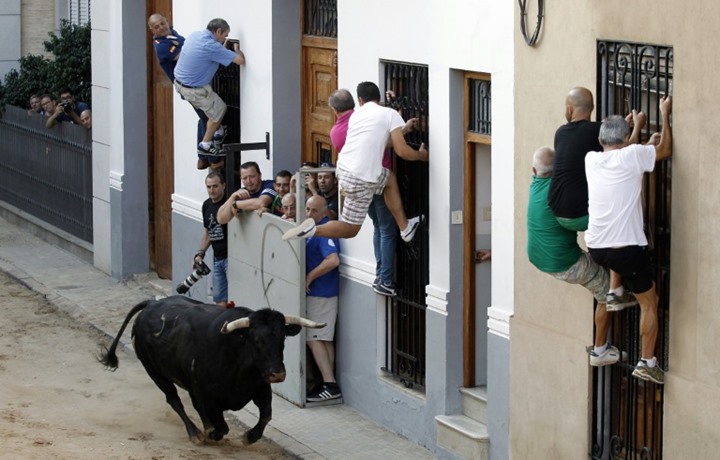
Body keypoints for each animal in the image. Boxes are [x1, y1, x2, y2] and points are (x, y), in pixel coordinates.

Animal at [98, 296, 324, 444]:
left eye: (282, 339)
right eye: (257, 340)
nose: (278, 374)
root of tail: (152, 304)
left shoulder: (261, 388)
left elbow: (266, 415)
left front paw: (249, 437)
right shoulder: (208, 396)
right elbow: (222, 425)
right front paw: (213, 434)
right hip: (154, 372)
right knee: (174, 400)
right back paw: (196, 433)